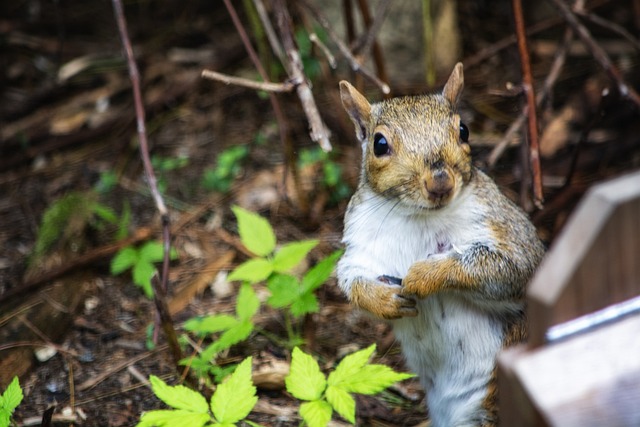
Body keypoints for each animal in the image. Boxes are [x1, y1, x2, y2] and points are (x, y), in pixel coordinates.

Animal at [336, 63, 544, 427]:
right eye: (379, 143)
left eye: (464, 130)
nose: (440, 181)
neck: (418, 216)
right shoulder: (362, 244)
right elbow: (352, 277)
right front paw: (384, 300)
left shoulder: (506, 230)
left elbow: (509, 268)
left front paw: (424, 275)